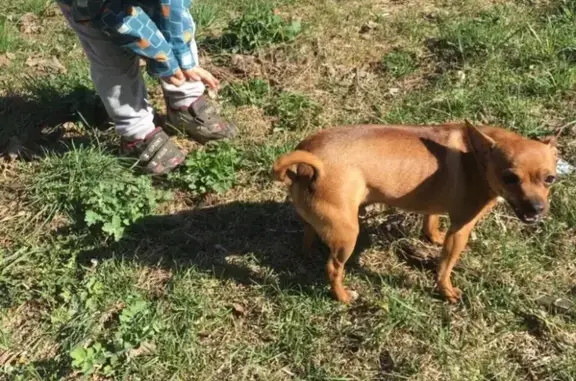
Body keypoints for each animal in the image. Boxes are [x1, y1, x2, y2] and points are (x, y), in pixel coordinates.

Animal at [274, 120, 560, 302]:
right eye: (509, 178)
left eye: (550, 179)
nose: (537, 208)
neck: (478, 159)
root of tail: (309, 165)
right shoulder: (460, 231)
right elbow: (444, 266)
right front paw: (446, 292)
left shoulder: (433, 205)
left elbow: (430, 221)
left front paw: (433, 237)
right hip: (348, 236)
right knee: (333, 268)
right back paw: (343, 297)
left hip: (324, 222)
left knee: (309, 232)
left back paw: (309, 250)